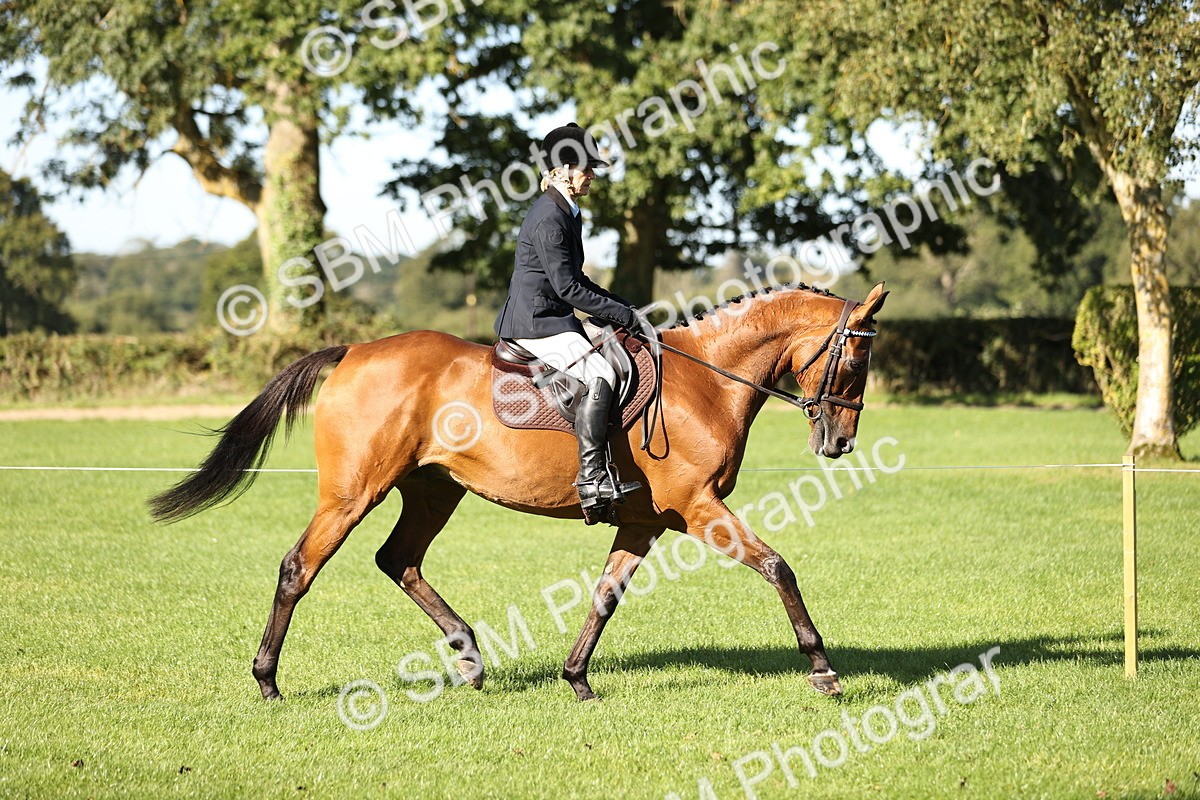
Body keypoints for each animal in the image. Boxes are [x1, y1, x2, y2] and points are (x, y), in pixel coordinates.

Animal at [149, 281, 888, 702]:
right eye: (855, 360)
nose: (840, 444)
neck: (704, 381)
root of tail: (354, 351)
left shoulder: (645, 521)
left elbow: (605, 595)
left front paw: (578, 679)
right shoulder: (700, 508)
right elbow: (778, 567)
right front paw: (823, 670)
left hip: (433, 490)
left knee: (399, 560)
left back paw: (471, 659)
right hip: (353, 494)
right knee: (298, 568)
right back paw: (268, 681)